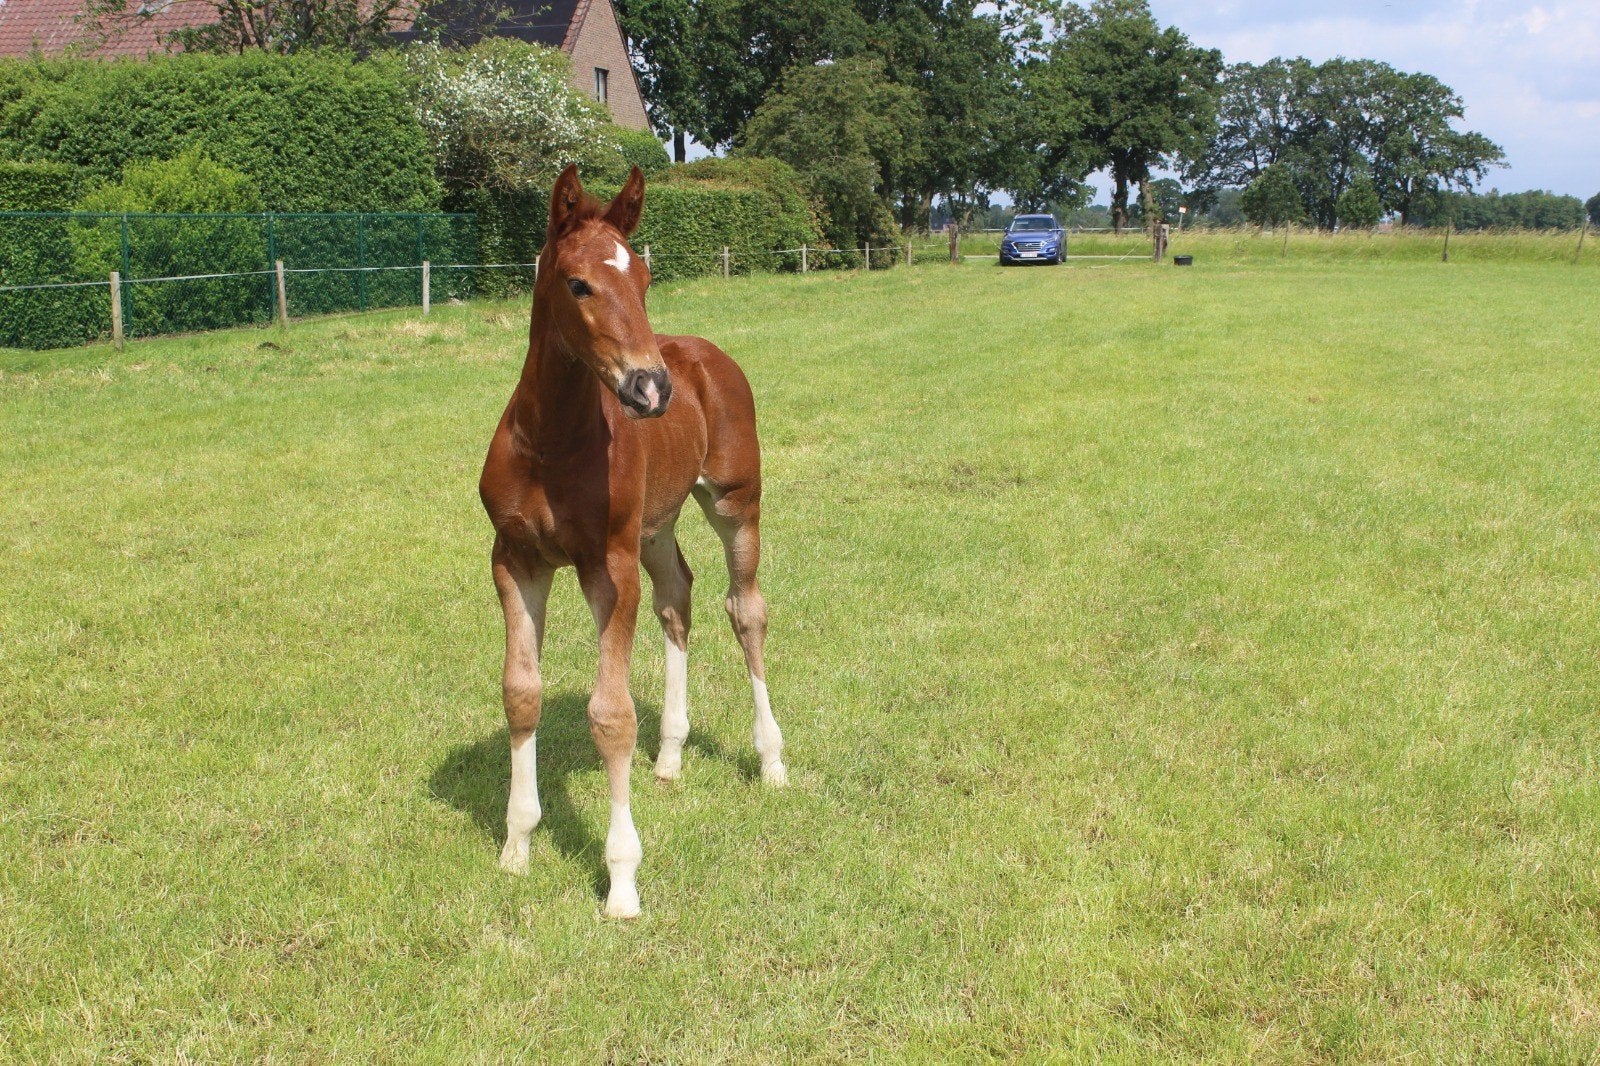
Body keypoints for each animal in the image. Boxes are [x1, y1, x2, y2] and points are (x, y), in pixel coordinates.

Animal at [478, 164, 787, 919]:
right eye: (578, 284)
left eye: (644, 280)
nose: (652, 389)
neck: (552, 443)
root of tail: (702, 353)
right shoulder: (515, 560)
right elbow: (520, 692)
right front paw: (516, 845)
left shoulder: (607, 565)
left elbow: (611, 715)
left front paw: (621, 878)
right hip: (656, 524)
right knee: (677, 598)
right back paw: (671, 754)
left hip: (735, 502)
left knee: (746, 610)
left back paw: (771, 758)